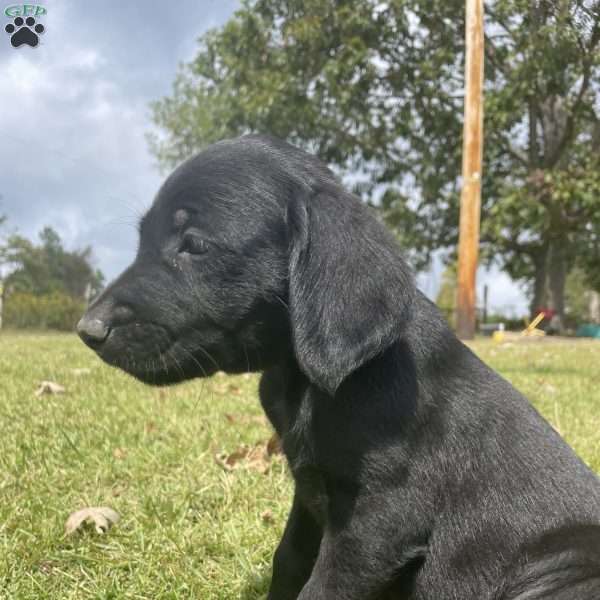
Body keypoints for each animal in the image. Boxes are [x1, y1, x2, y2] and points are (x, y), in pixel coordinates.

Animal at [79, 136, 600, 600]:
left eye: (194, 245)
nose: (88, 329)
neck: (308, 379)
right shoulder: (310, 497)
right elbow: (288, 561)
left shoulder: (377, 521)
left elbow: (322, 587)